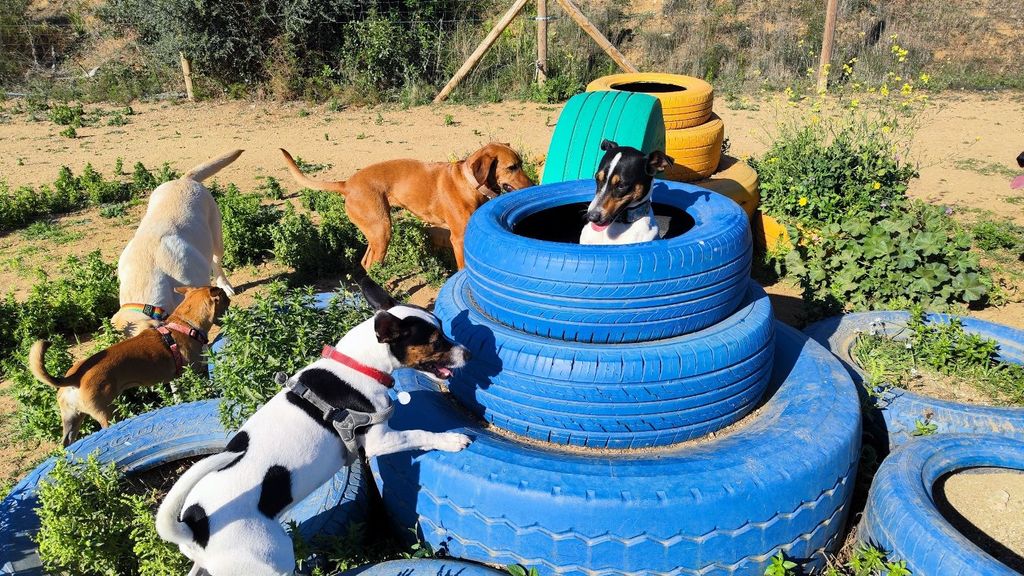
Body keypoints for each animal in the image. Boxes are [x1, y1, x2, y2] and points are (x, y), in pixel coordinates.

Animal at [29, 282, 230, 444]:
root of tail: (75, 377)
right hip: (108, 414)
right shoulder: (193, 371)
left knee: (66, 444)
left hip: (71, 419)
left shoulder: (176, 379)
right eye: (226, 301)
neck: (184, 323)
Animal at [280, 142, 536, 270]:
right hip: (382, 230)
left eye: (521, 164)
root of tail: (347, 184)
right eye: (512, 167)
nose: (534, 186)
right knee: (372, 264)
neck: (470, 183)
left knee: (365, 262)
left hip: (375, 231)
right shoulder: (458, 238)